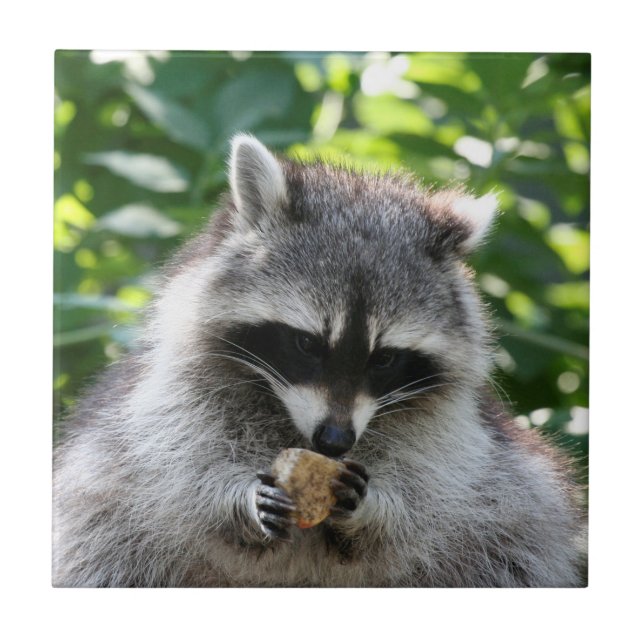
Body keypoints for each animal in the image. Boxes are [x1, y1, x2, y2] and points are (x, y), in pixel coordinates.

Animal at [53, 134, 585, 587]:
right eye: (307, 344)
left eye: (384, 358)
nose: (334, 440)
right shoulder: (173, 398)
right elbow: (177, 468)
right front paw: (235, 501)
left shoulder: (450, 431)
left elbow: (432, 491)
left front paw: (376, 509)